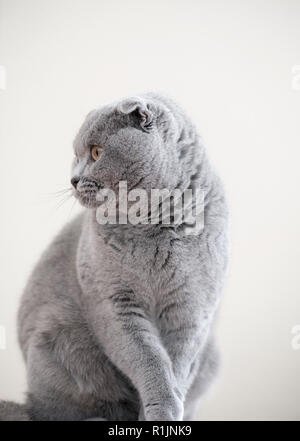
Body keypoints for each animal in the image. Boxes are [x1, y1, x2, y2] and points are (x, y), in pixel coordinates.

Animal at [0, 93, 229, 420]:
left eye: (96, 152)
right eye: (75, 155)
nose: (73, 179)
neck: (155, 226)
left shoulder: (192, 308)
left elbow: (177, 366)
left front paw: (163, 414)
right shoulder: (114, 303)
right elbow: (149, 359)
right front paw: (160, 411)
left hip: (211, 356)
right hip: (56, 339)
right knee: (54, 410)